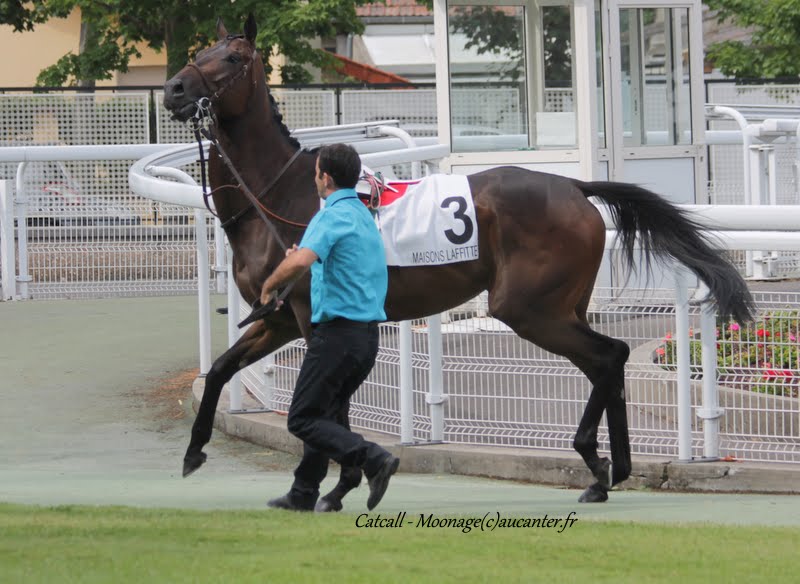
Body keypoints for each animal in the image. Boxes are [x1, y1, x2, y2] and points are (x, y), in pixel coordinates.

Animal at [164, 16, 756, 504]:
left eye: (233, 57)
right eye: (201, 49)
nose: (174, 88)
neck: (279, 199)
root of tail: (575, 186)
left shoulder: (313, 319)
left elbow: (322, 407)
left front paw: (333, 484)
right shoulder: (281, 319)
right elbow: (221, 370)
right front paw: (194, 451)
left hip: (528, 307)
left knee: (609, 355)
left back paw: (597, 461)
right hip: (561, 305)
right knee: (605, 360)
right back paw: (609, 469)